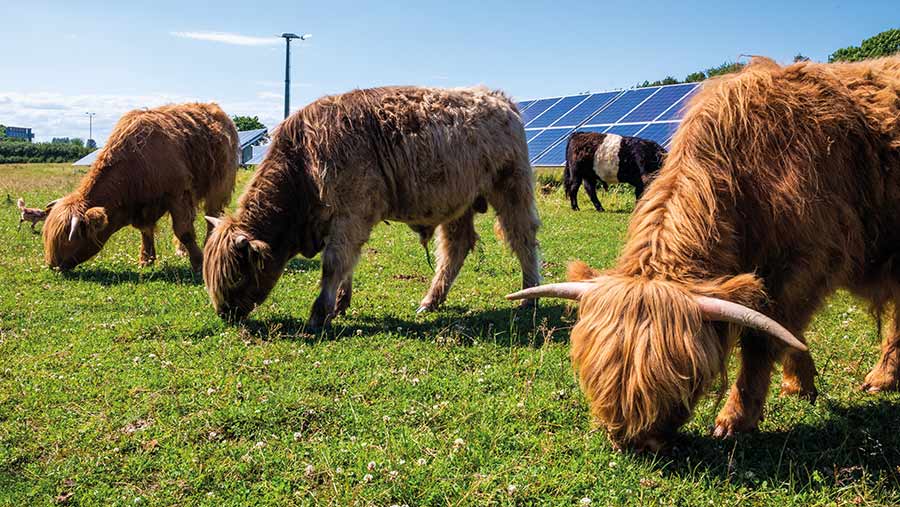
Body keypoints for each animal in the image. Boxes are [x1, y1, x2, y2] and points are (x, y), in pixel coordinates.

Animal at [43, 100, 239, 272]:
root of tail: (213, 107)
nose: (53, 265)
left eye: (67, 240)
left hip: (219, 185)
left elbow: (184, 231)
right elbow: (146, 231)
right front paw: (146, 259)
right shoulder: (145, 205)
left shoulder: (177, 194)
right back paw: (181, 251)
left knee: (212, 214)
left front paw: (198, 262)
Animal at [204, 85, 540, 328]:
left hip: (512, 188)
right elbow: (348, 263)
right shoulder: (348, 221)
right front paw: (340, 304)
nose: (225, 313)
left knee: (523, 238)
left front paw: (319, 314)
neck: (303, 162)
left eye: (236, 275)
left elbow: (333, 263)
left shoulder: (349, 215)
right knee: (456, 248)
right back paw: (430, 301)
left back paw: (529, 296)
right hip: (458, 204)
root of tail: (498, 97)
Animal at [510, 56, 900, 452]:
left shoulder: (806, 263)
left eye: (683, 381)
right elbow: (789, 335)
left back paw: (880, 378)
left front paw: (736, 419)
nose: (633, 442)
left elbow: (767, 337)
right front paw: (800, 386)